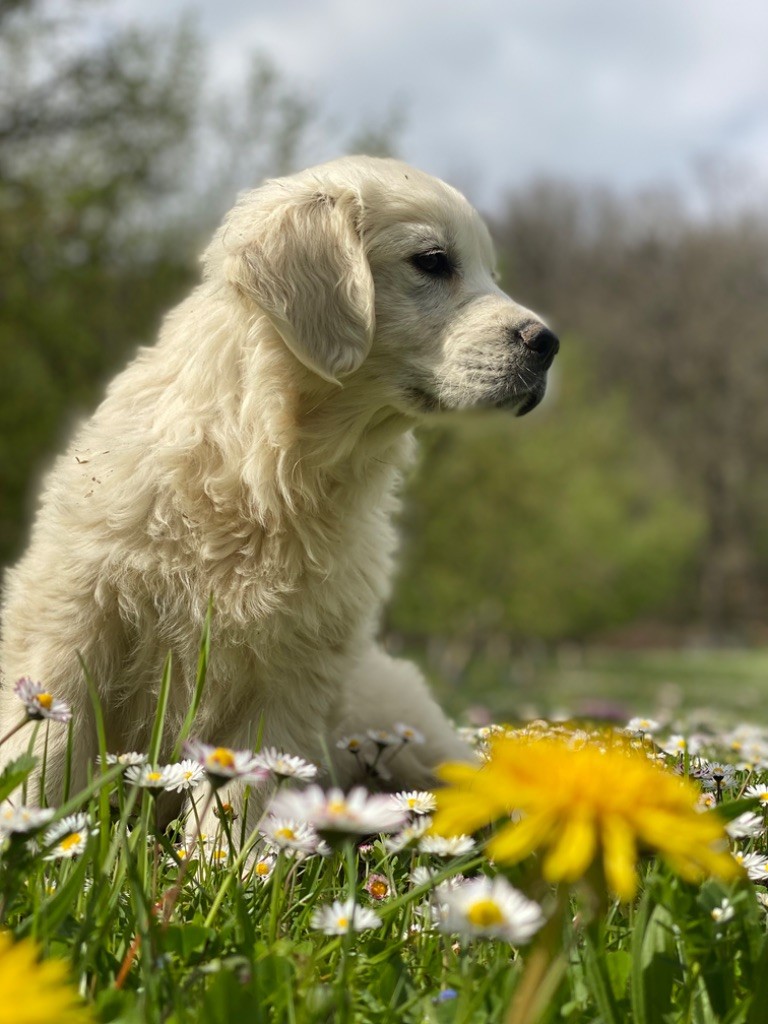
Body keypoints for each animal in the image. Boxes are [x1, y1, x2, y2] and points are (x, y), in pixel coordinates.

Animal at [0, 153, 561, 823]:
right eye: (432, 261)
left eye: (490, 274)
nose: (548, 343)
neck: (267, 466)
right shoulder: (74, 613)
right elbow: (48, 749)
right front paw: (32, 830)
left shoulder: (292, 666)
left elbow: (244, 797)